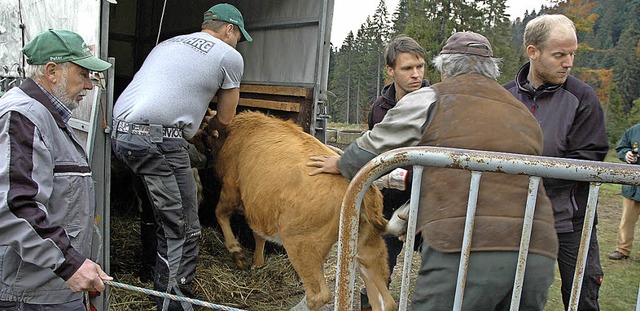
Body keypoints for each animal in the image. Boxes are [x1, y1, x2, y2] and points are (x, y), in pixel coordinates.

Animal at [200, 112, 398, 311]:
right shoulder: (259, 208)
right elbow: (258, 235)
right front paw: (257, 262)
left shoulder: (230, 189)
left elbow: (220, 213)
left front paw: (237, 252)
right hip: (368, 246)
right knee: (384, 298)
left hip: (301, 246)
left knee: (319, 295)